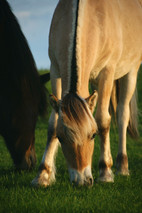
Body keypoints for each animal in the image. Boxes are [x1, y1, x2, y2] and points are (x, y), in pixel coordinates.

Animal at [32, 0, 142, 186]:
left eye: (93, 135)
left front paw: (105, 172)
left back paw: (122, 166)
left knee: (122, 114)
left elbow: (103, 120)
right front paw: (43, 174)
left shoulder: (107, 72)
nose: (81, 180)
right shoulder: (55, 70)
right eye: (61, 137)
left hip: (131, 72)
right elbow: (52, 124)